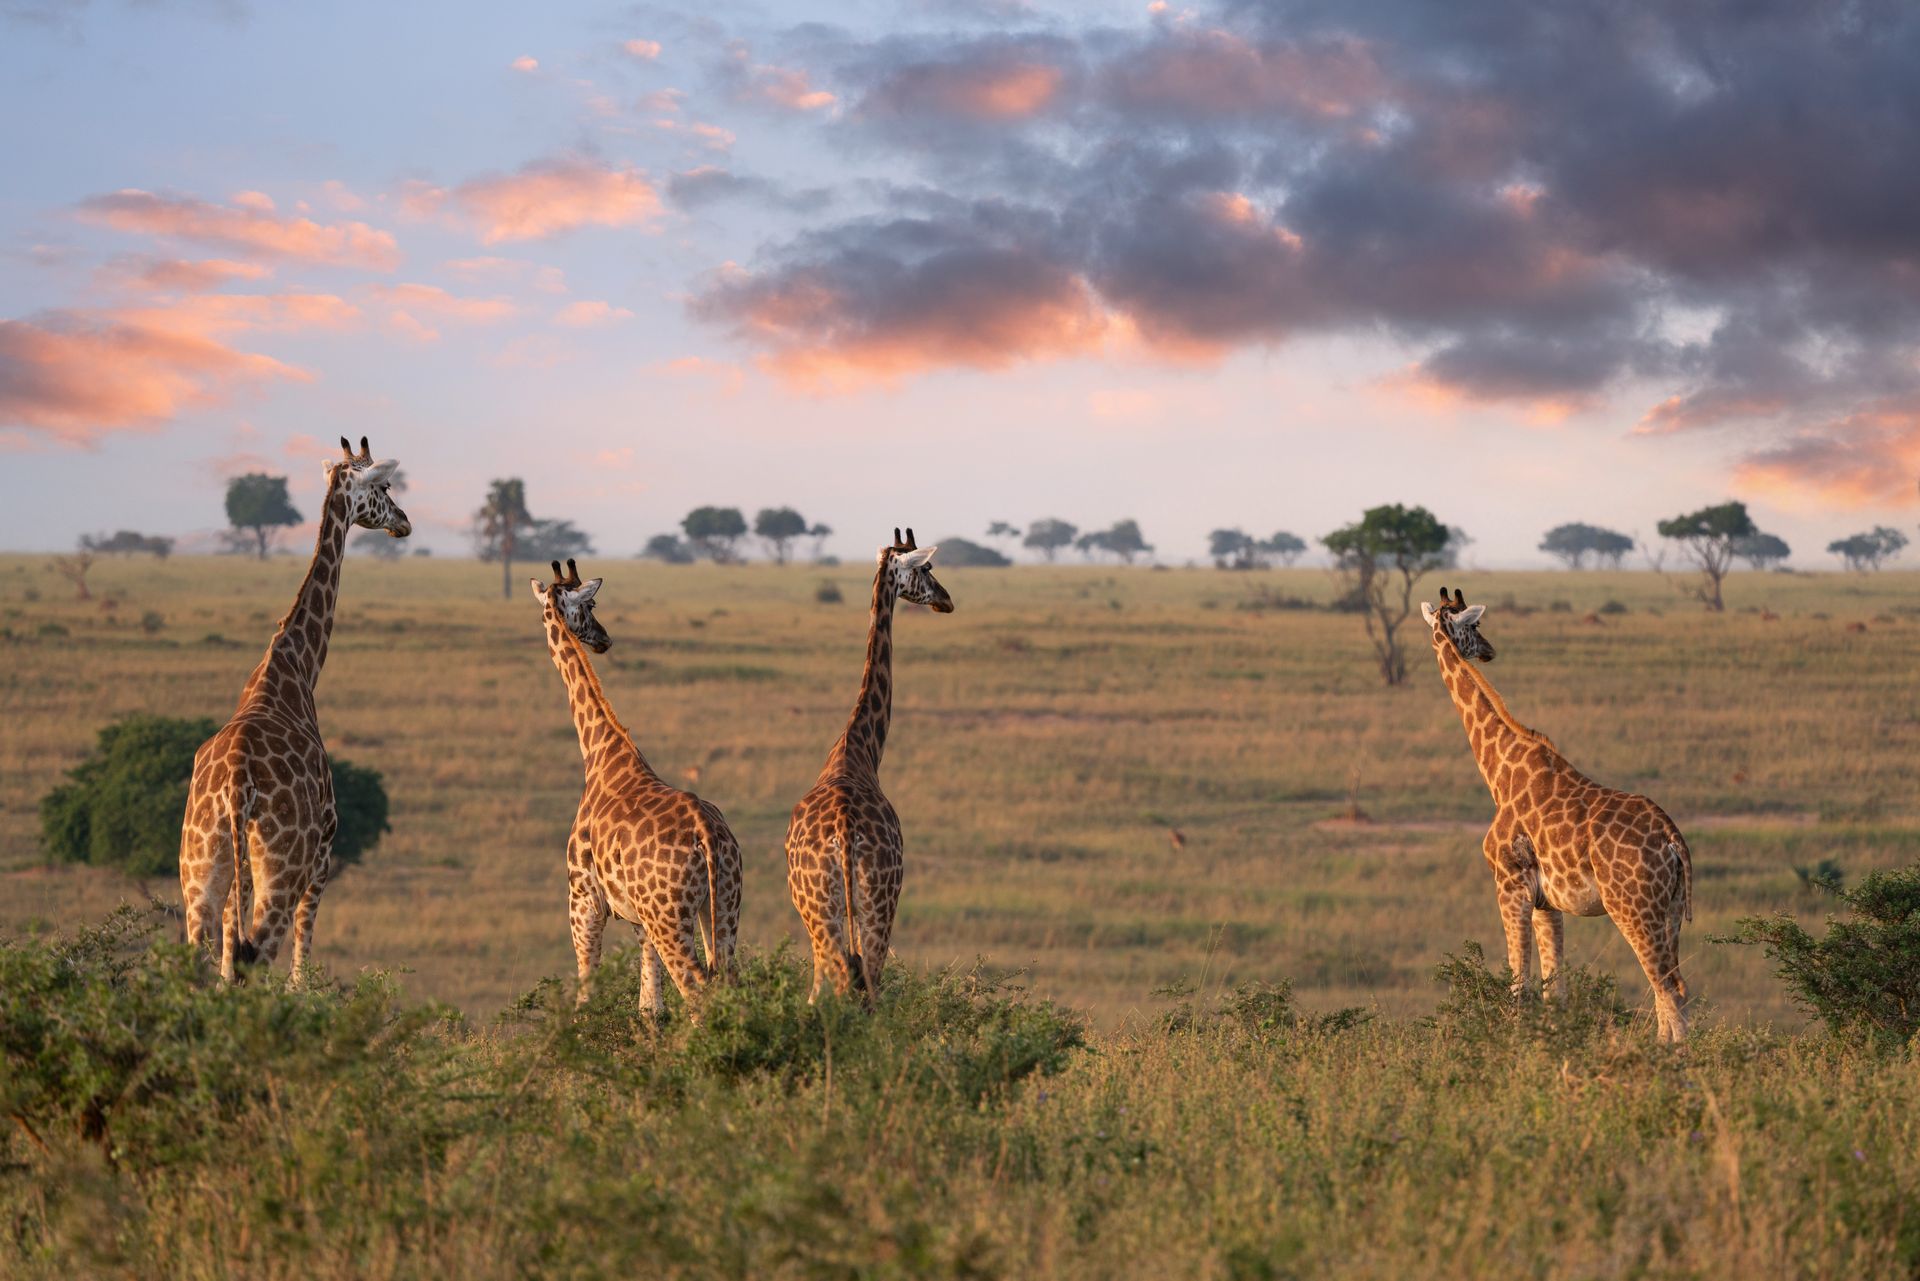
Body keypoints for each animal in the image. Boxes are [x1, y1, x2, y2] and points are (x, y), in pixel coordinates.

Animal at [179, 436, 410, 983]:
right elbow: (301, 970)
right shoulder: (324, 852)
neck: (295, 667)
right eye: (385, 486)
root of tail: (236, 789)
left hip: (199, 876)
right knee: (256, 960)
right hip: (279, 873)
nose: (405, 522)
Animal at [531, 559, 743, 1019]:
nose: (604, 639)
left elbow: (586, 992)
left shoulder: (583, 899)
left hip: (671, 918)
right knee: (730, 982)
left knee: (698, 990)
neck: (600, 751)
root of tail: (709, 837)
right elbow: (650, 1007)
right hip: (722, 906)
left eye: (590, 603)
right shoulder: (639, 921)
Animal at [786, 528, 954, 1004]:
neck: (857, 749)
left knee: (847, 981)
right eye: (926, 568)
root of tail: (844, 837)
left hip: (829, 910)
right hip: (875, 902)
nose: (947, 600)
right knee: (864, 984)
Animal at [1422, 586, 1694, 1042]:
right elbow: (1555, 991)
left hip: (1633, 907)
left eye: (1475, 623)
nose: (1490, 650)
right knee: (1674, 991)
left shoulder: (1509, 883)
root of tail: (1674, 841)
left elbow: (1519, 985)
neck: (1500, 771)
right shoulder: (1546, 902)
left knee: (1668, 989)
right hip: (1670, 910)